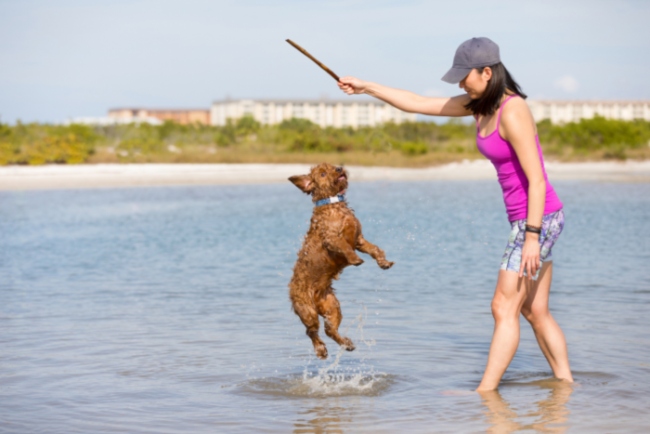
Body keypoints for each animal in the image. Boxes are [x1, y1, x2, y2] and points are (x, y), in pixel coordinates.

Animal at [290, 163, 394, 360]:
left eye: (332, 166)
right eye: (323, 173)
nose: (339, 168)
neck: (333, 203)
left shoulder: (359, 239)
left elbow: (375, 249)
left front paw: (384, 262)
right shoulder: (333, 239)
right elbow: (345, 247)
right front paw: (355, 259)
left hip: (332, 307)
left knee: (329, 330)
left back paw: (347, 344)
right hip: (307, 310)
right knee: (312, 331)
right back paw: (321, 350)